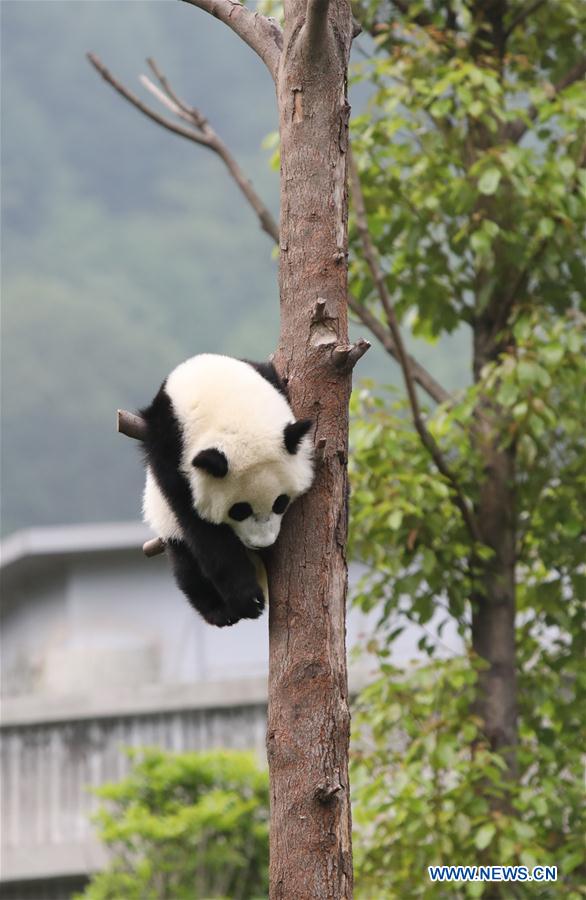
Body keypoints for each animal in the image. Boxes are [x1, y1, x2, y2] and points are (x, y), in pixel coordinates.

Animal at [140, 354, 314, 627]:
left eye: (280, 502)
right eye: (239, 510)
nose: (262, 544)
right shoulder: (169, 446)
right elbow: (202, 528)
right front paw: (247, 598)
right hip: (167, 525)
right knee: (187, 566)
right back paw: (220, 611)